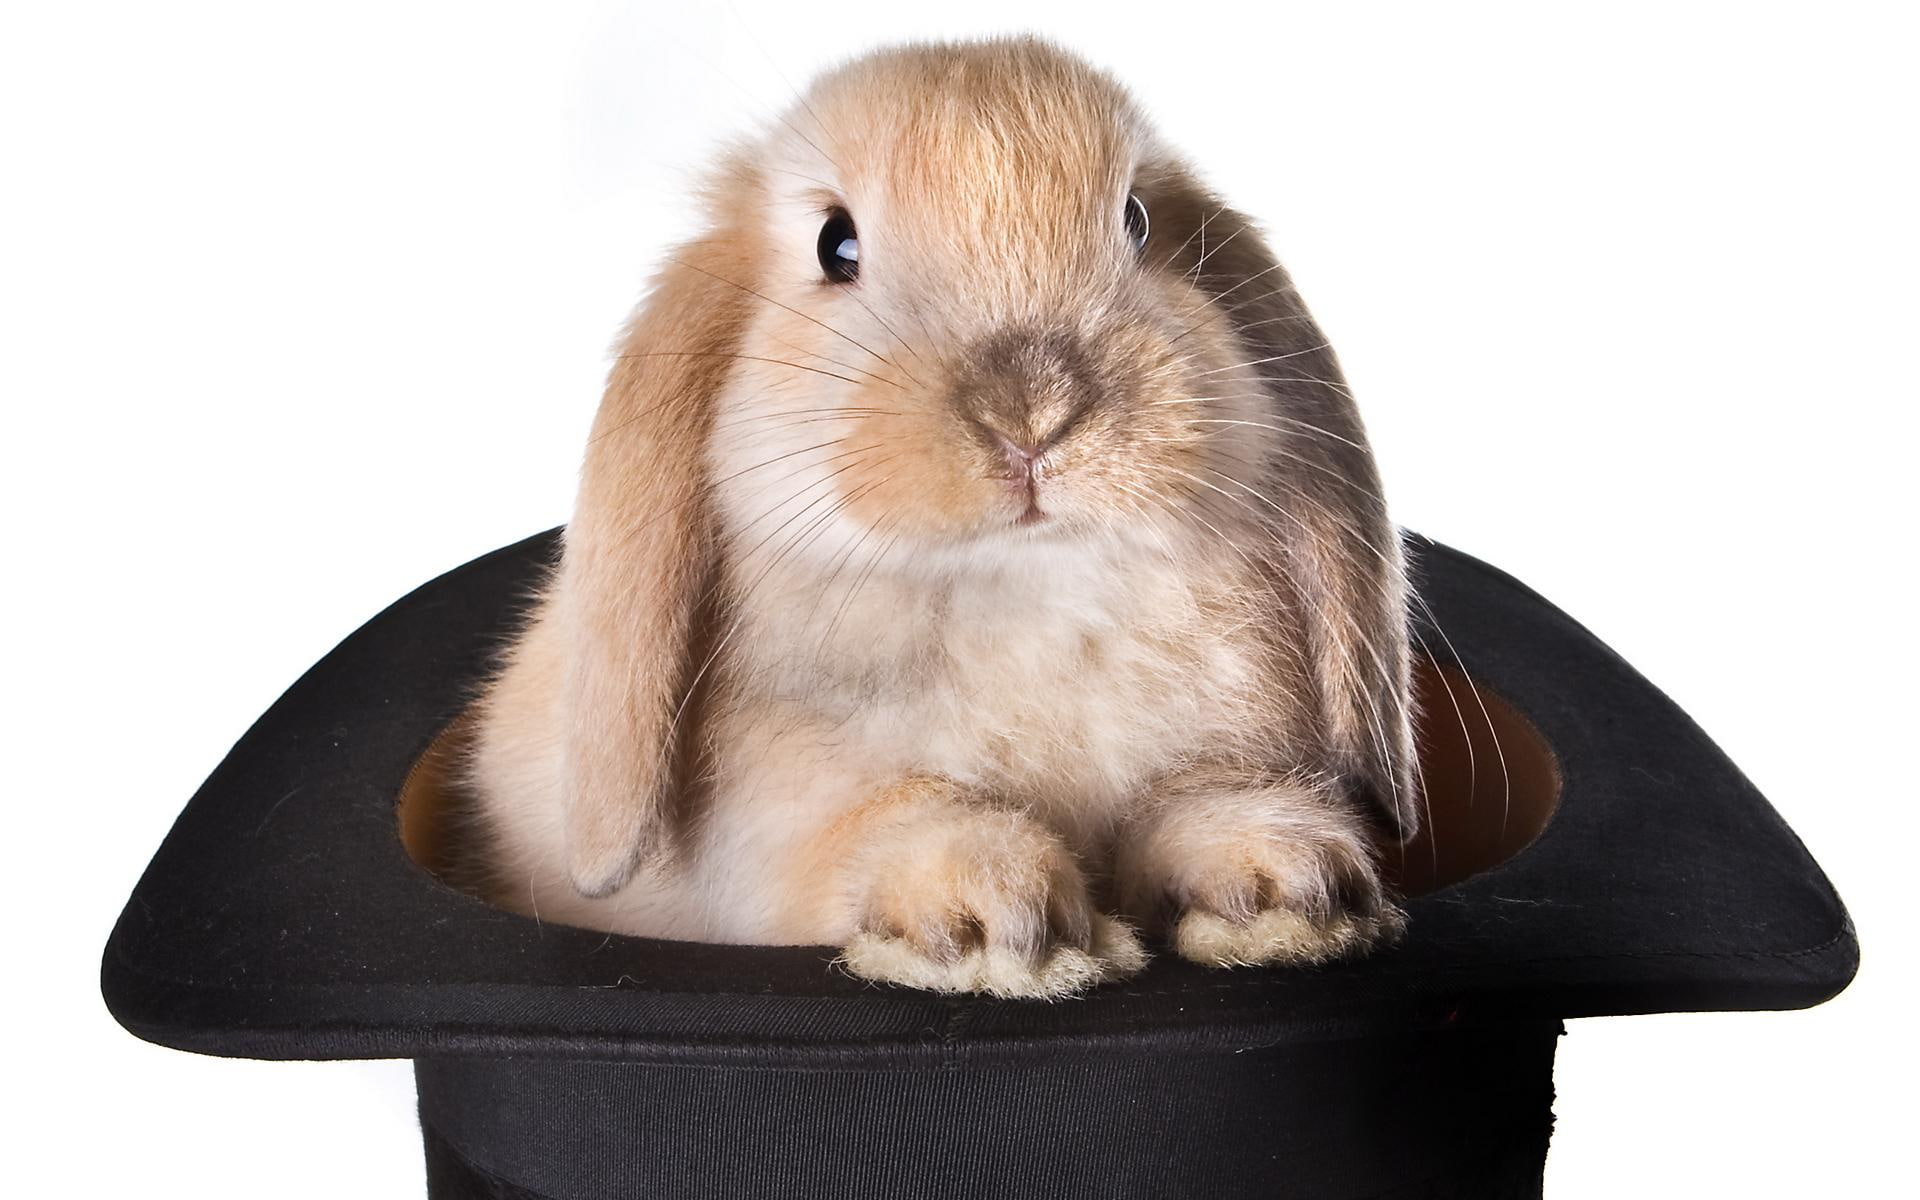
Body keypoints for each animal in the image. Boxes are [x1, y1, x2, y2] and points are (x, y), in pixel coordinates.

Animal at [461, 36, 1419, 999]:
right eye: (835, 244)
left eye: (1139, 221)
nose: (1032, 411)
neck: (1028, 590)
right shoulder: (773, 821)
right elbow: (884, 819)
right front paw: (997, 922)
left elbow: (1191, 798)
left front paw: (1288, 887)